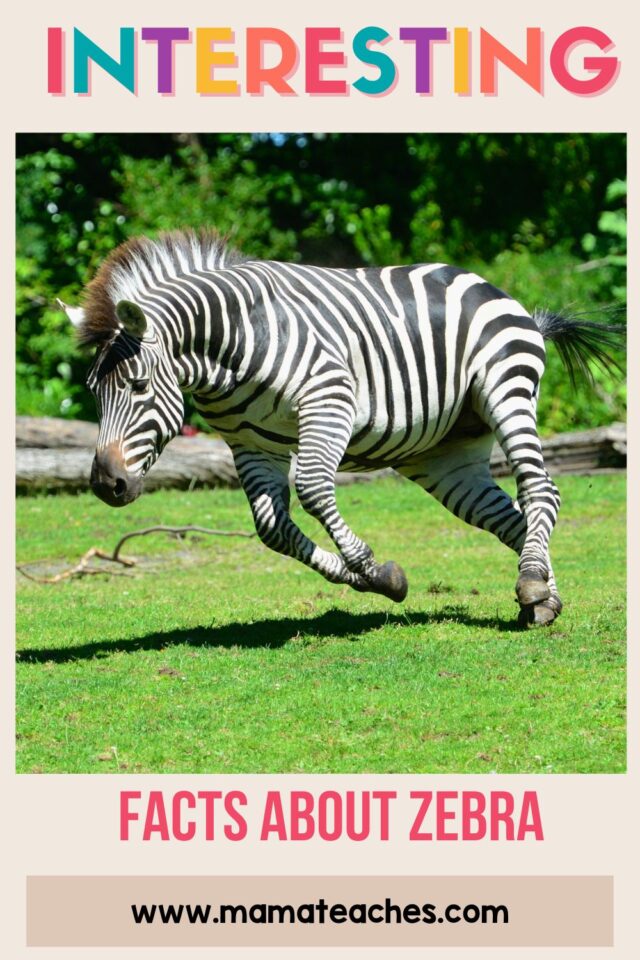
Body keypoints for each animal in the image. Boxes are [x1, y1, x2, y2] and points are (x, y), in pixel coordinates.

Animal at [58, 229, 623, 626]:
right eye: (93, 391)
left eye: (138, 387)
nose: (105, 485)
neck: (232, 343)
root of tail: (499, 292)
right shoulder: (251, 442)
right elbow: (272, 528)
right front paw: (372, 579)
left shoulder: (329, 400)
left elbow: (311, 488)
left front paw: (373, 570)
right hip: (443, 455)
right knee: (508, 517)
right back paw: (544, 596)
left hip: (506, 388)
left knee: (541, 489)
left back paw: (533, 581)